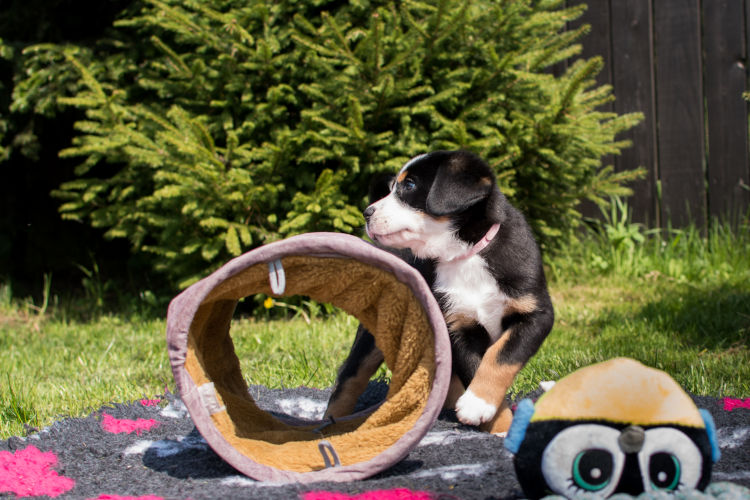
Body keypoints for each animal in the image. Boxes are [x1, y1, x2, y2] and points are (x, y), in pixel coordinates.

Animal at [324, 150, 554, 434]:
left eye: (410, 185)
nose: (367, 213)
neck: (464, 255)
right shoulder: (457, 327)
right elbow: (476, 367)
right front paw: (498, 424)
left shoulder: (535, 314)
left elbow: (501, 357)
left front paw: (479, 406)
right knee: (350, 376)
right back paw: (329, 425)